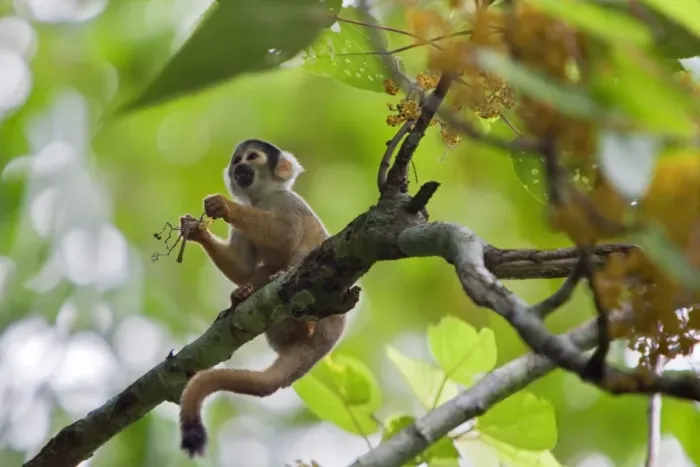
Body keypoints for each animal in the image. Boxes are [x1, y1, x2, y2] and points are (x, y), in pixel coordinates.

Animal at [177, 139, 347, 457]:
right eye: (237, 160)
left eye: (252, 157)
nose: (240, 167)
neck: (262, 198)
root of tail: (324, 345)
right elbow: (243, 267)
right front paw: (194, 230)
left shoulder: (289, 202)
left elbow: (287, 234)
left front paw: (224, 205)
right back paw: (243, 296)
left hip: (329, 318)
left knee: (301, 251)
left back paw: (302, 316)